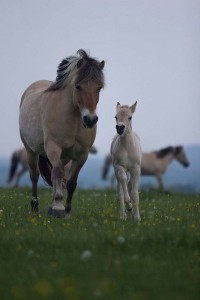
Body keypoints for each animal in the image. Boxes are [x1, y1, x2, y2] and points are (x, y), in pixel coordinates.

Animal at [19, 49, 104, 218]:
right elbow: (58, 173)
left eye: (99, 88)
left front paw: (66, 210)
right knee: (34, 175)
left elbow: (71, 182)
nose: (90, 119)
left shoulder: (82, 155)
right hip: (31, 150)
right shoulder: (53, 148)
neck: (74, 120)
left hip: (64, 157)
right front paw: (58, 206)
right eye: (78, 86)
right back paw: (34, 206)